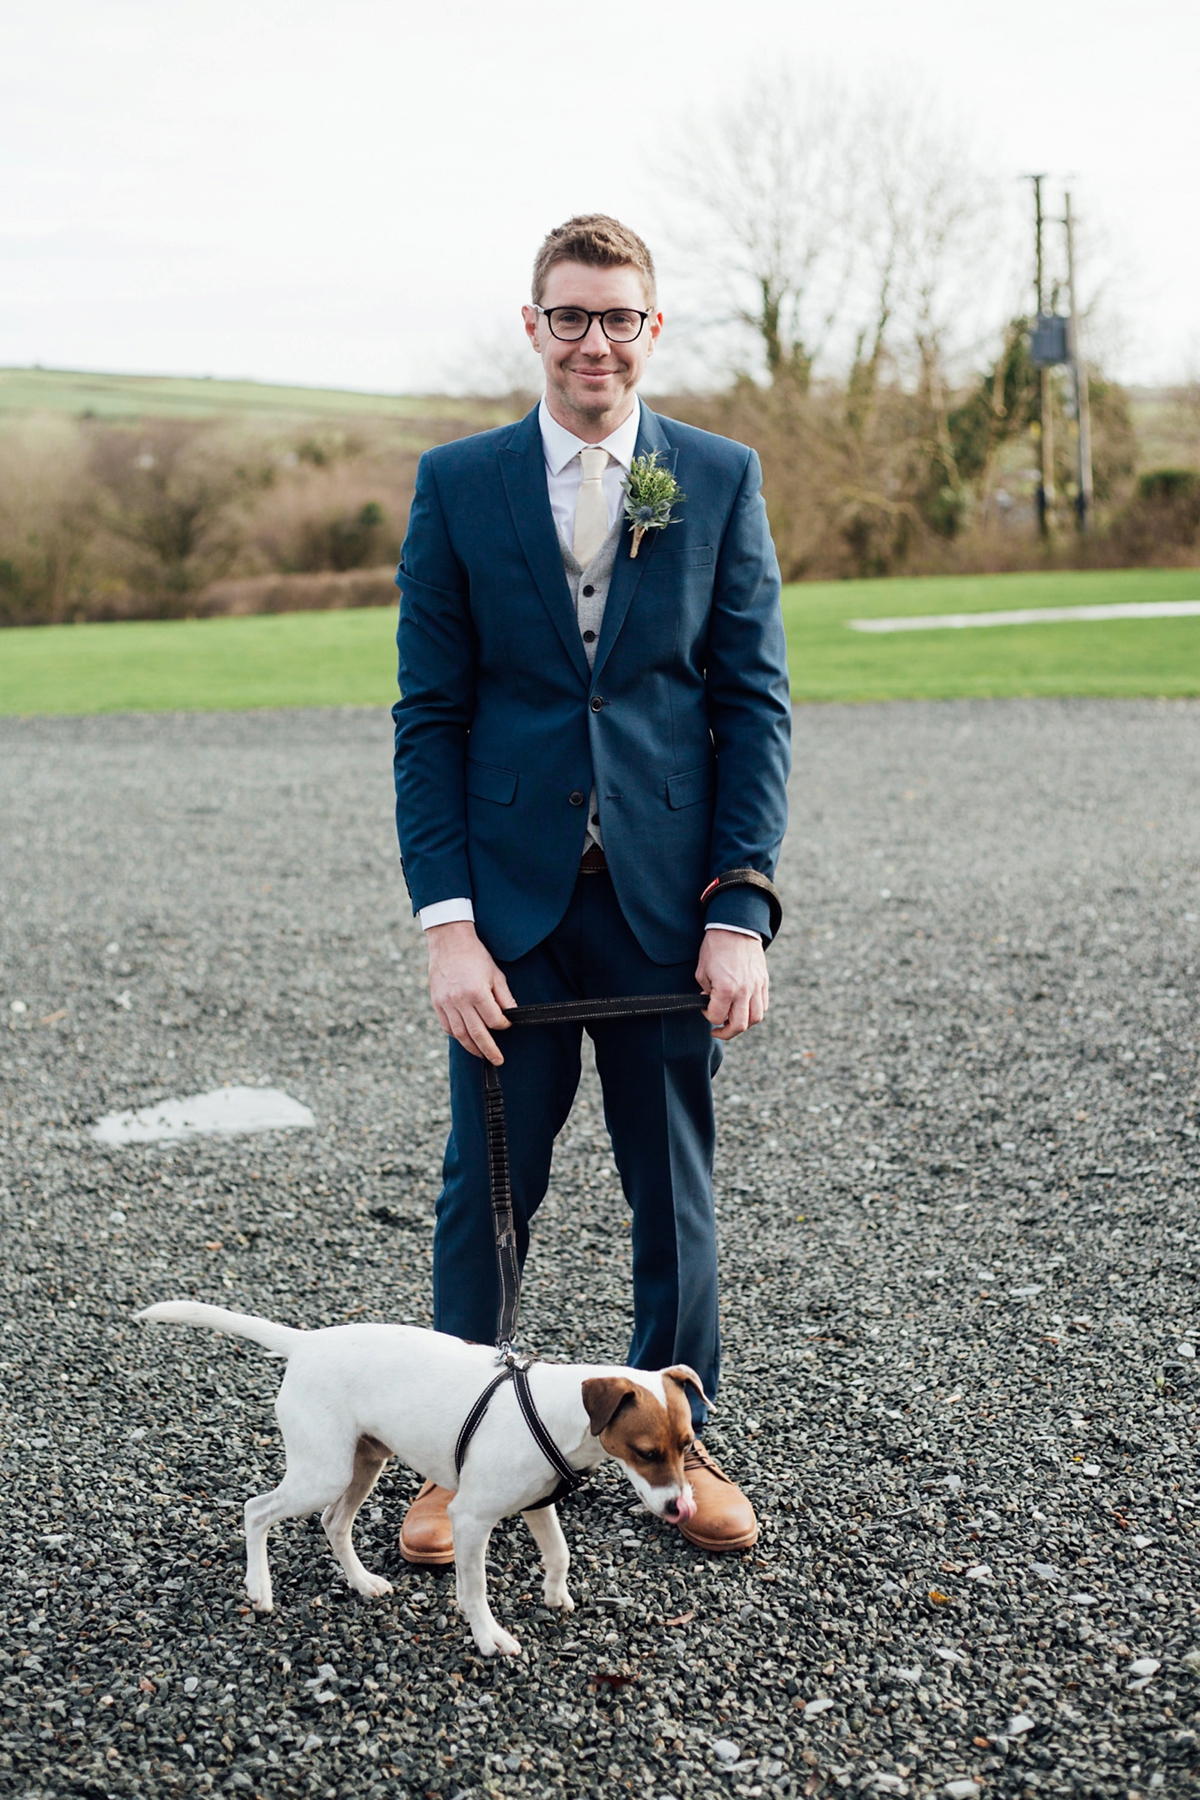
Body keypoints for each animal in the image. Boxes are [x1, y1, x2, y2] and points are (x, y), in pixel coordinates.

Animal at [135, 1296, 708, 1656]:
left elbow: (560, 1552)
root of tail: (307, 1343)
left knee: (333, 1523)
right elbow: (474, 1588)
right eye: (644, 1452)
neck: (557, 1412)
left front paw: (554, 1595)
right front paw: (488, 1638)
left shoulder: (537, 1504)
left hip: (363, 1463)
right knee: (257, 1510)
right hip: (323, 1471)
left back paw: (362, 1582)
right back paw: (259, 1587)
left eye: (686, 1446)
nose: (683, 1509)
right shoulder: (470, 1519)